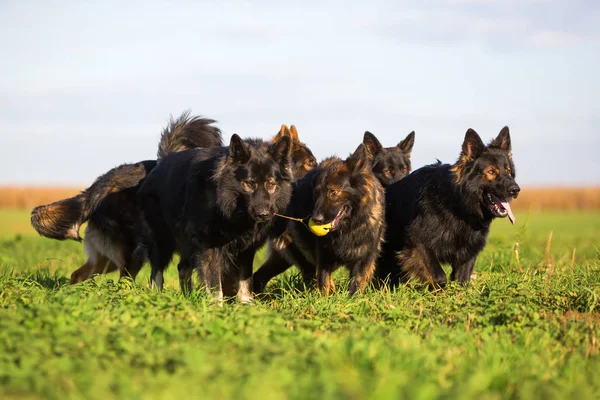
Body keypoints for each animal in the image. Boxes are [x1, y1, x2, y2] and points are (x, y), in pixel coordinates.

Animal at [138, 134, 292, 304]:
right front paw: (216, 306)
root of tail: (162, 161)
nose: (263, 214)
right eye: (249, 184)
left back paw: (188, 299)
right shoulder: (208, 245)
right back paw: (157, 297)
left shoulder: (246, 248)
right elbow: (214, 283)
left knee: (182, 268)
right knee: (156, 272)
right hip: (163, 241)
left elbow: (245, 278)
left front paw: (246, 303)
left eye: (271, 184)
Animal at [253, 131, 412, 294]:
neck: (349, 224)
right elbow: (324, 281)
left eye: (333, 192)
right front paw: (326, 298)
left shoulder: (365, 256)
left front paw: (352, 299)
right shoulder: (324, 254)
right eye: (316, 192)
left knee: (260, 276)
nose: (316, 219)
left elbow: (356, 283)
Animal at [376, 126, 520, 286]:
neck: (457, 205)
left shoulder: (469, 251)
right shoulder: (419, 243)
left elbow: (462, 280)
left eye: (508, 171)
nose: (516, 189)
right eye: (491, 171)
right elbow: (439, 275)